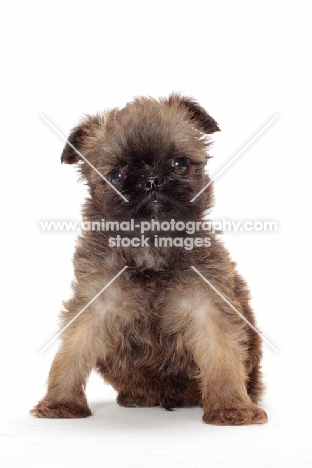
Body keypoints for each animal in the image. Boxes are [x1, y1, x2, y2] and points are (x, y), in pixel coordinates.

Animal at [31, 94, 268, 424]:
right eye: (116, 176)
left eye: (180, 163)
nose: (152, 181)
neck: (151, 247)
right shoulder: (95, 304)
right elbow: (71, 354)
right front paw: (60, 402)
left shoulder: (207, 306)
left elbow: (221, 354)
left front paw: (231, 407)